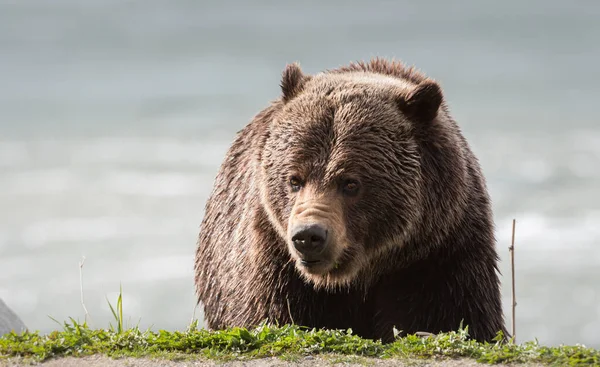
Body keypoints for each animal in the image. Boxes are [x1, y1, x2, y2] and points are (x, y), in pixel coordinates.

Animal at [195, 58, 508, 344]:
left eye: (350, 183)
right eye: (294, 179)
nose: (308, 236)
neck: (360, 275)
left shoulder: (440, 254)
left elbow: (452, 317)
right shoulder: (274, 257)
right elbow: (272, 314)